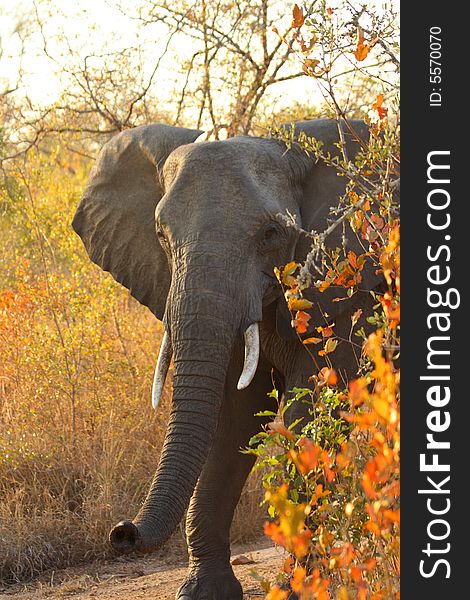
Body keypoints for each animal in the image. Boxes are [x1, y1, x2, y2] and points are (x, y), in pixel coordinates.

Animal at [72, 119, 382, 596]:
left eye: (272, 234)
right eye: (160, 235)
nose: (121, 532)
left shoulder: (347, 285)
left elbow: (311, 404)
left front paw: (296, 586)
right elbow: (231, 414)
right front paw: (203, 591)